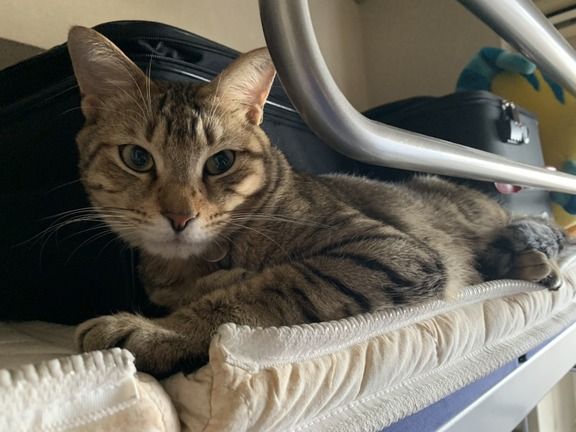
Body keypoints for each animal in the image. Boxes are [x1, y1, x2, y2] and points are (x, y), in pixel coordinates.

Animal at [67, 26, 567, 377]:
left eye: (220, 162)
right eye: (137, 158)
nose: (179, 217)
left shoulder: (391, 251)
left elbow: (268, 288)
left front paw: (162, 331)